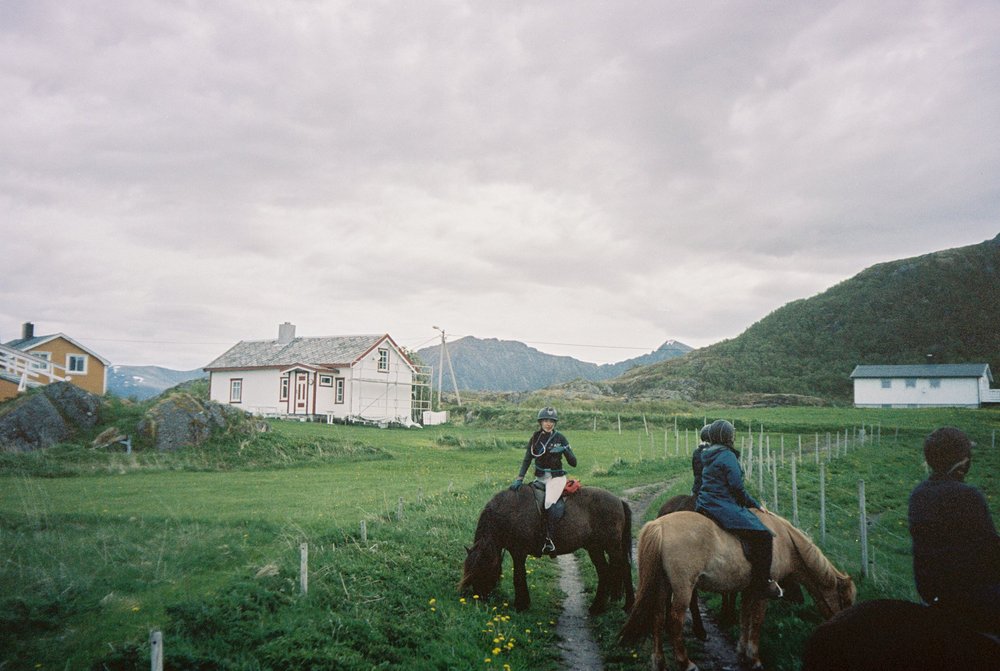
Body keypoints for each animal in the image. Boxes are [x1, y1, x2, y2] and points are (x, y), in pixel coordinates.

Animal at [459, 483, 635, 614]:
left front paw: (521, 605)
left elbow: (518, 577)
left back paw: (628, 605)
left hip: (612, 547)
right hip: (595, 548)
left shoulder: (518, 553)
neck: (511, 511)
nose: (479, 597)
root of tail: (619, 501)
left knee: (624, 568)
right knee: (604, 572)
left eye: (482, 570)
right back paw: (597, 607)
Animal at [620, 509, 855, 671]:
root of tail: (658, 525)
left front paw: (742, 652)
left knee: (658, 618)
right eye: (845, 601)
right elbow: (757, 620)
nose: (842, 630)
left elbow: (744, 618)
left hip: (663, 585)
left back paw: (659, 662)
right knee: (674, 621)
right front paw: (754, 658)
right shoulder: (762, 592)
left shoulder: (749, 589)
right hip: (683, 588)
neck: (784, 540)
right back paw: (686, 663)